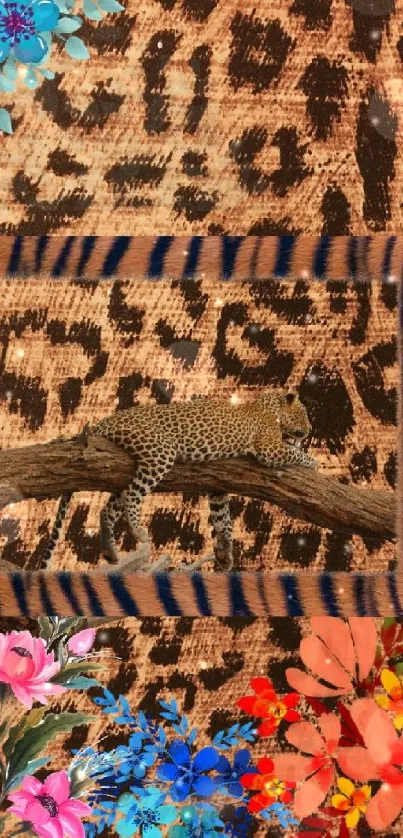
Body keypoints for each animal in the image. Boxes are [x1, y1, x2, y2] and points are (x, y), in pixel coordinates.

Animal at [43, 390, 315, 572]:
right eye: (303, 413)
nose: (311, 430)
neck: (269, 406)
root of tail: (105, 420)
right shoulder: (269, 449)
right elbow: (293, 453)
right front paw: (313, 462)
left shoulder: (217, 486)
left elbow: (223, 519)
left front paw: (225, 553)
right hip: (159, 452)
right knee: (132, 496)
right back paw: (138, 531)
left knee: (108, 509)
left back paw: (110, 552)